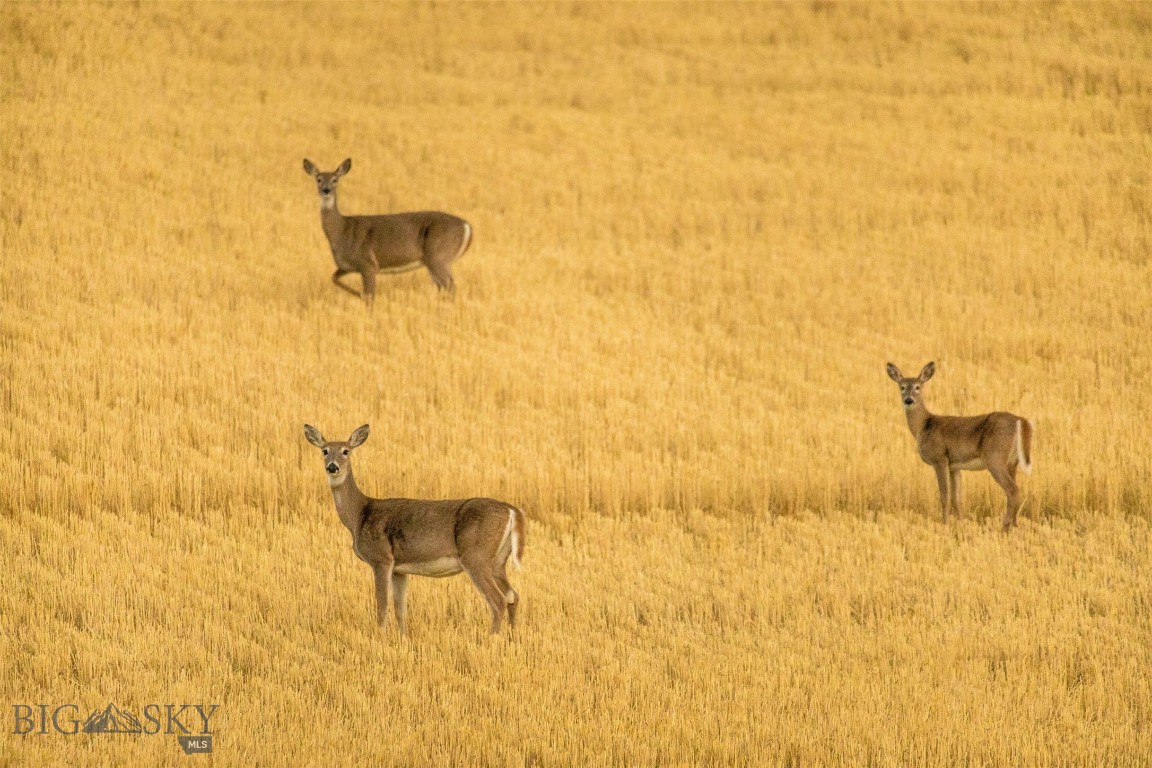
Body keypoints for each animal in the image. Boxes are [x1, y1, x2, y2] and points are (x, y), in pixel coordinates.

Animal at [302, 158, 473, 306]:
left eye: (335, 179)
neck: (342, 230)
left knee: (450, 286)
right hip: (435, 261)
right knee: (445, 287)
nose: (326, 190)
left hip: (438, 256)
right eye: (318, 179)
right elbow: (334, 279)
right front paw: (357, 294)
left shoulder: (368, 264)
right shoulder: (345, 267)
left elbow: (369, 297)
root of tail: (467, 226)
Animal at [303, 424, 525, 635]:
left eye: (345, 451)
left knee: (498, 600)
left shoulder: (381, 559)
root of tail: (511, 510)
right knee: (513, 595)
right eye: (324, 451)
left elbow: (382, 608)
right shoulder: (399, 569)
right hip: (498, 560)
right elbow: (400, 609)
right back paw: (513, 638)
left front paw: (380, 638)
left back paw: (492, 639)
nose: (332, 467)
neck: (359, 515)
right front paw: (403, 638)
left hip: (476, 555)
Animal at [886, 362, 1034, 532]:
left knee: (1012, 490)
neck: (923, 426)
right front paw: (961, 524)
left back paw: (1005, 527)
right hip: (1012, 462)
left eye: (918, 387)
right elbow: (956, 498)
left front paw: (945, 524)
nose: (908, 400)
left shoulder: (939, 459)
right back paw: (1015, 526)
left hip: (995, 457)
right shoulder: (954, 466)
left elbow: (944, 496)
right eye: (902, 387)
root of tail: (1021, 421)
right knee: (1016, 489)